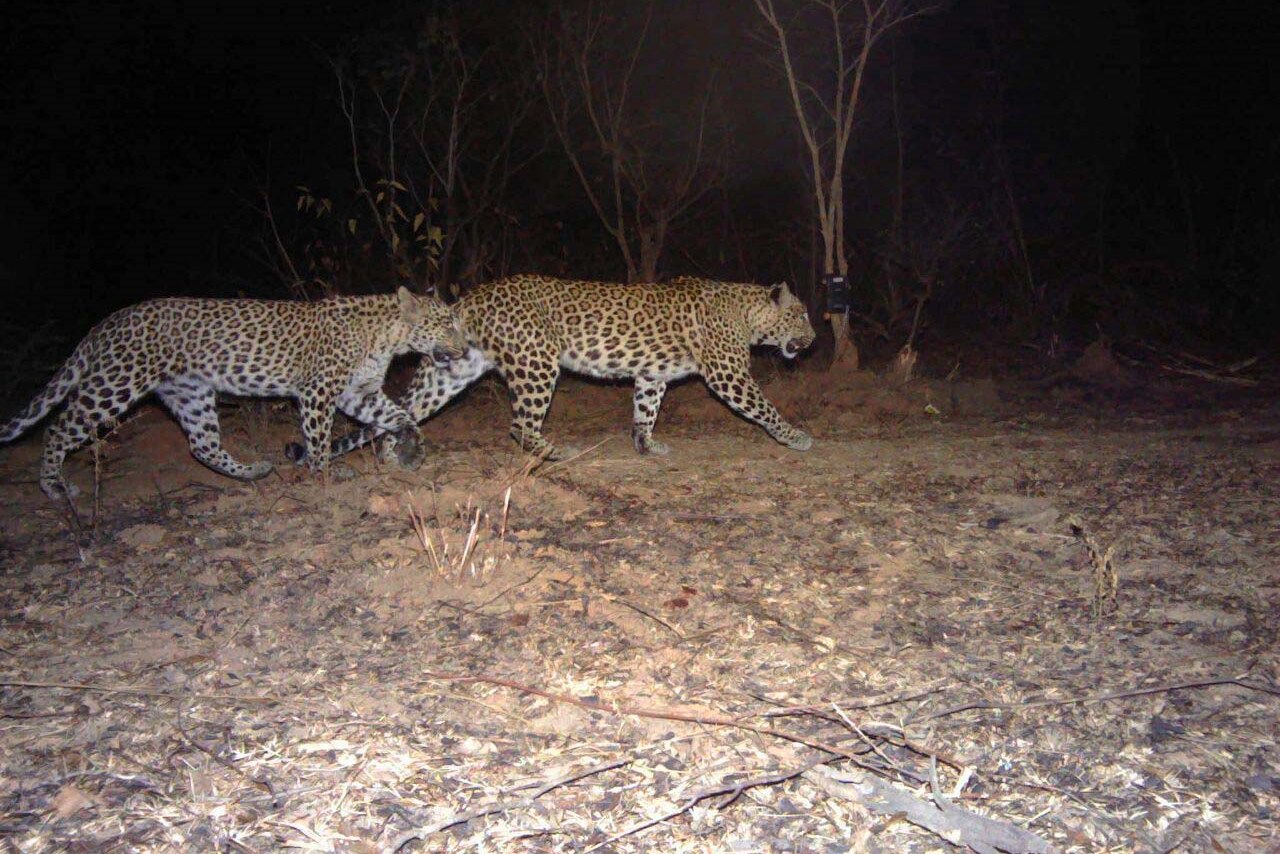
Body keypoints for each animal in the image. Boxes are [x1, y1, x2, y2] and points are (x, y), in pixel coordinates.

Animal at [1, 289, 471, 501]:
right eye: (447, 324)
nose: (467, 348)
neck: (389, 337)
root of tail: (103, 324)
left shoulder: (359, 392)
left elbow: (398, 414)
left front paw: (411, 446)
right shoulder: (319, 391)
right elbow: (319, 438)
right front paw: (323, 476)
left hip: (190, 393)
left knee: (202, 445)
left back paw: (251, 472)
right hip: (115, 383)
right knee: (59, 428)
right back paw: (54, 485)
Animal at [293, 273, 814, 468]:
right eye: (802, 315)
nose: (812, 340)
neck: (747, 312)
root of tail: (470, 298)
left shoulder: (650, 376)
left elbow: (645, 411)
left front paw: (646, 445)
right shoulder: (728, 374)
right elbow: (764, 408)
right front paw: (796, 437)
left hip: (455, 370)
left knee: (407, 406)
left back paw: (391, 453)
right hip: (537, 361)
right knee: (518, 424)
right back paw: (552, 451)